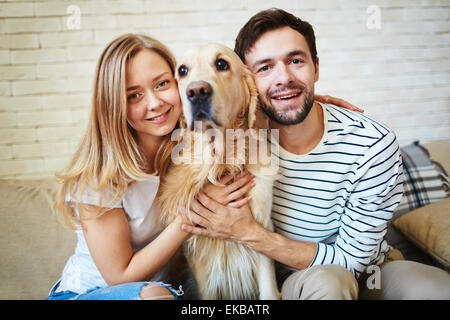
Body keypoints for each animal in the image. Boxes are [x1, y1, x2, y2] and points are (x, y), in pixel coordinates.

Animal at [156, 43, 280, 300]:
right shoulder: (196, 251)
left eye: (222, 64)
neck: (219, 163)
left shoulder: (261, 231)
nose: (197, 92)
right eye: (182, 70)